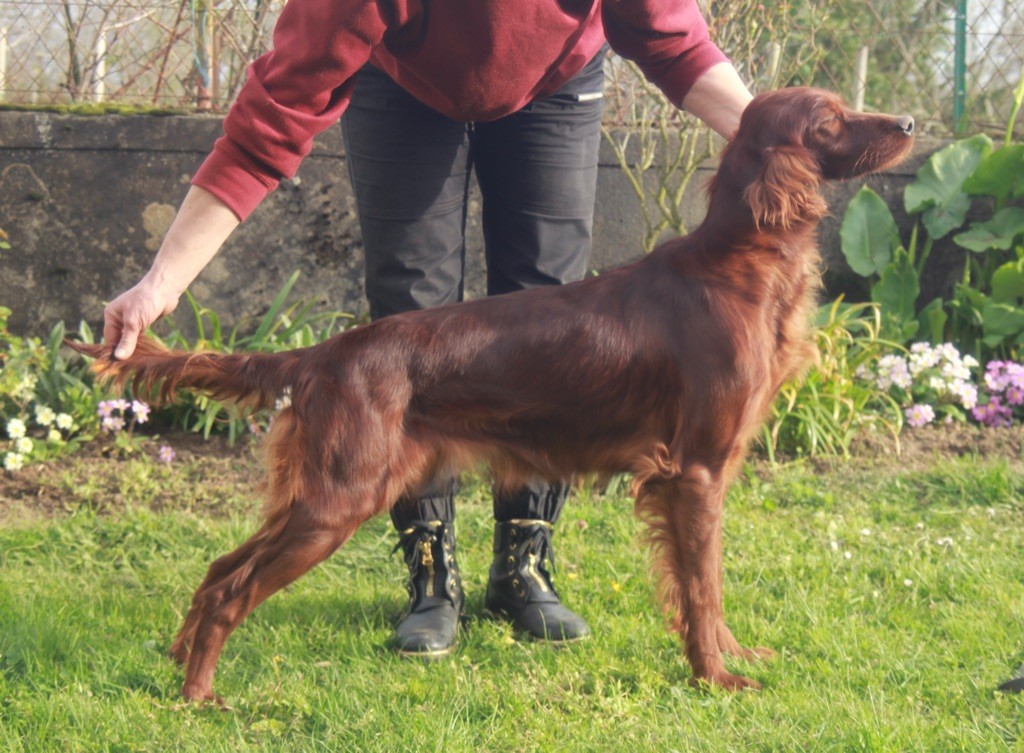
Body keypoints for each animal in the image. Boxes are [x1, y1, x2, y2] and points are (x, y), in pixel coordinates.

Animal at [68, 89, 913, 700]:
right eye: (831, 119)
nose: (908, 122)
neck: (739, 263)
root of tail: (325, 352)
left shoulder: (702, 475)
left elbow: (709, 587)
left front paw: (735, 655)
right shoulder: (696, 473)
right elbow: (702, 589)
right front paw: (718, 677)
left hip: (320, 493)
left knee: (218, 568)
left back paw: (178, 660)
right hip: (340, 497)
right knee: (232, 589)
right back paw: (199, 695)